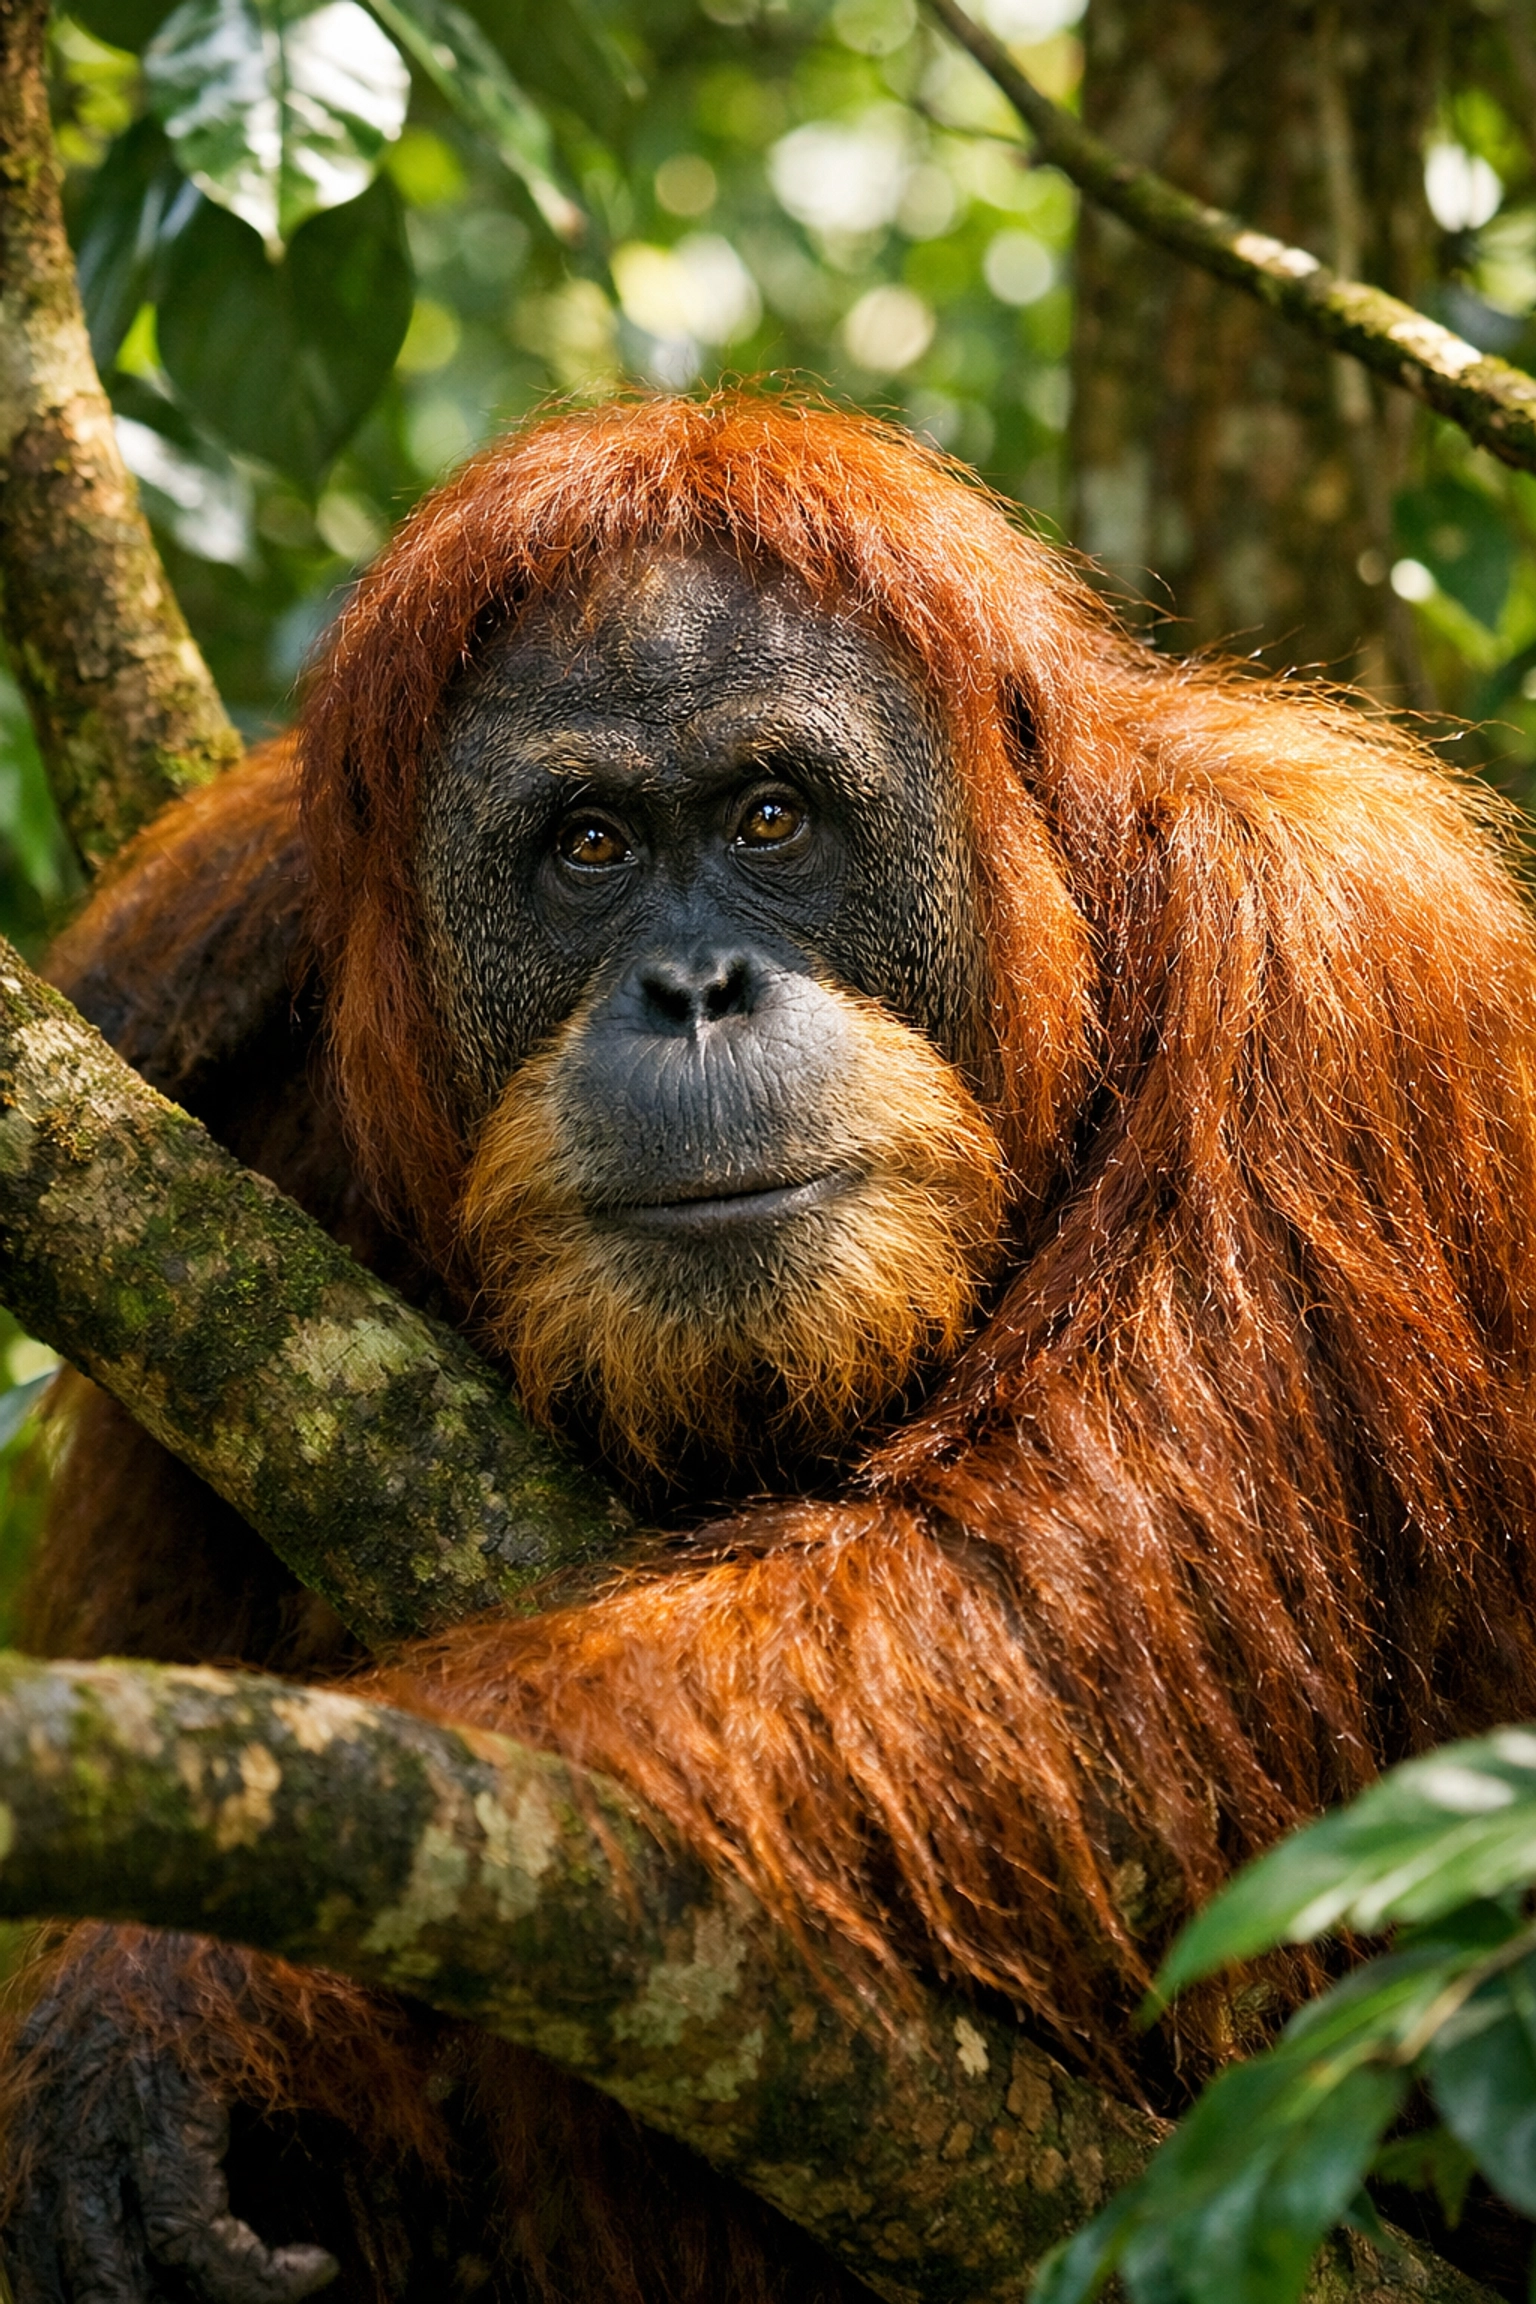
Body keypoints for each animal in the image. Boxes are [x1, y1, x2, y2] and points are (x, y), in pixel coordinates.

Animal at [5, 390, 1536, 2302]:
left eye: (769, 816)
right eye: (587, 847)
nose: (696, 988)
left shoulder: (1331, 966)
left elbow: (1071, 1628)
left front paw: (189, 1966)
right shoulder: (217, 976)